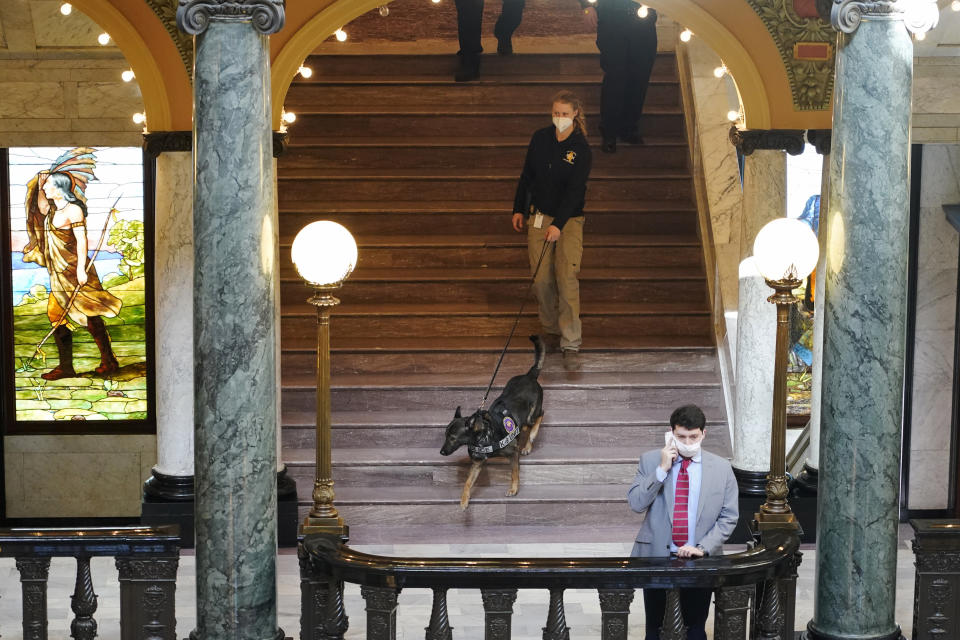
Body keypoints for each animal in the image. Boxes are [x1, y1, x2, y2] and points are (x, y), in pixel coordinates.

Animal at [438, 336, 544, 510]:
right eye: (445, 436)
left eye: (452, 438)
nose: (441, 452)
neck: (483, 436)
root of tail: (530, 375)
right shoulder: (477, 464)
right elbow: (467, 483)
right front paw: (464, 500)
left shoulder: (513, 453)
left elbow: (514, 473)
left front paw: (513, 489)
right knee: (526, 427)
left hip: (531, 416)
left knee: (539, 417)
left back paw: (530, 442)